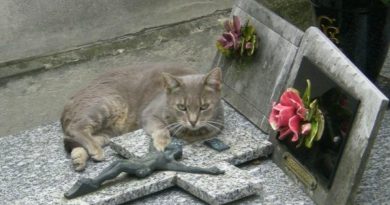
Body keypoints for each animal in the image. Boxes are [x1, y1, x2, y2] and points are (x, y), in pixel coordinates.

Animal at [61, 64, 225, 171]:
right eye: (181, 107)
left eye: (204, 107)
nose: (193, 121)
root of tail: (68, 102)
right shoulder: (149, 114)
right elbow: (162, 128)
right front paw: (161, 144)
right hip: (108, 103)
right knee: (75, 128)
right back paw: (95, 151)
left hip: (109, 132)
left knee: (71, 139)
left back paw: (79, 158)